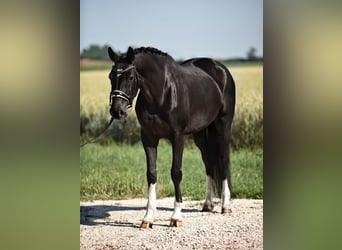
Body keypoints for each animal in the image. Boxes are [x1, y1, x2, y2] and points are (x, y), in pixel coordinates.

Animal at [107, 46, 235, 228]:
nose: (117, 111)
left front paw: (176, 216)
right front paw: (148, 218)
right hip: (200, 133)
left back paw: (225, 205)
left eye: (130, 77)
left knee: (223, 160)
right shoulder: (148, 138)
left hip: (223, 125)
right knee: (209, 162)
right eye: (111, 76)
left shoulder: (177, 136)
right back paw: (208, 204)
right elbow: (151, 173)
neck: (161, 92)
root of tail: (220, 69)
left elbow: (176, 172)